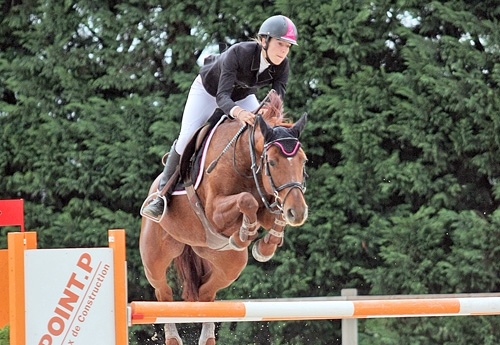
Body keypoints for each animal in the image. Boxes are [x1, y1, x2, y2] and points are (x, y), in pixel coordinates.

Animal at [139, 91, 306, 344]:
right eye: (273, 162)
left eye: (303, 161)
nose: (298, 212)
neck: (245, 160)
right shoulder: (215, 211)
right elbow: (247, 200)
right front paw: (245, 233)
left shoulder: (269, 205)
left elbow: (272, 214)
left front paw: (265, 246)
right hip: (155, 257)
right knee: (163, 292)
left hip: (228, 262)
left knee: (206, 293)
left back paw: (206, 337)